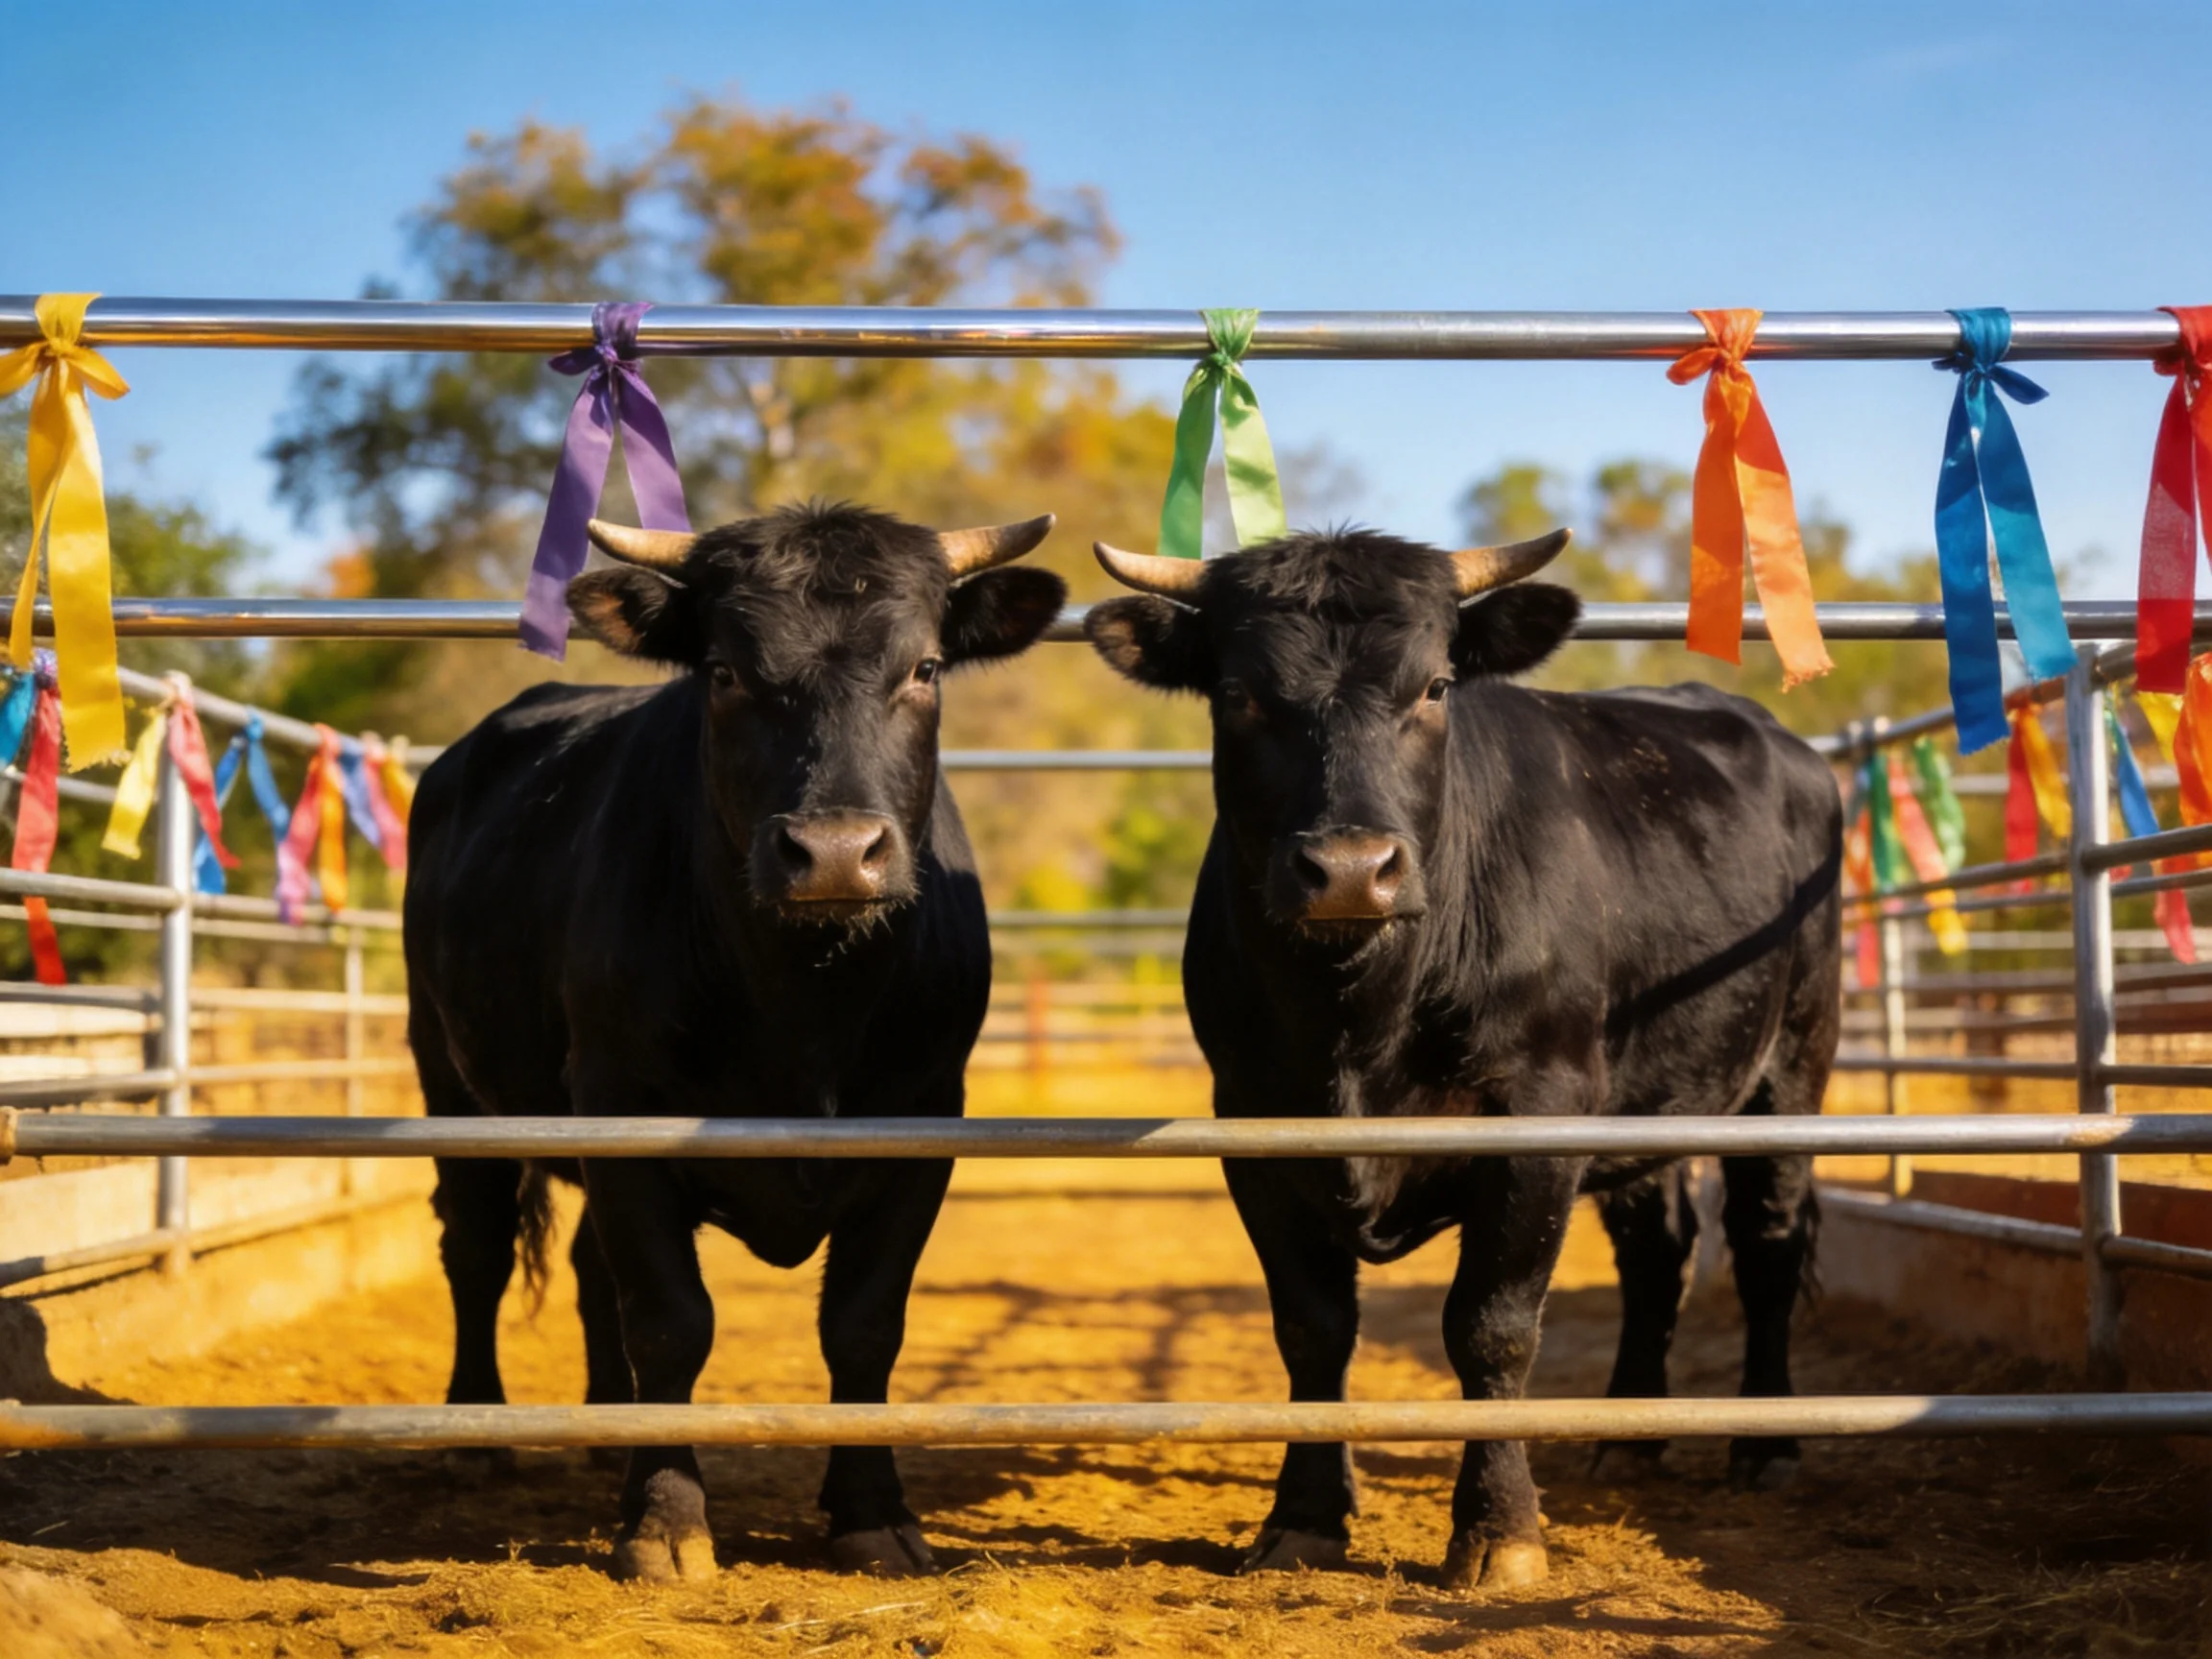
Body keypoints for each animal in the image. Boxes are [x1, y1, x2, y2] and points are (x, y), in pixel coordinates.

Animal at [403, 502, 1068, 1582]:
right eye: (723, 672)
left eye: (925, 667)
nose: (834, 853)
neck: (805, 1005)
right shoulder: (622, 1111)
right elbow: (672, 1321)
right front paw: (666, 1522)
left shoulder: (925, 1120)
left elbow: (863, 1325)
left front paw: (872, 1515)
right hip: (449, 1081)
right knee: (478, 1249)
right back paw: (476, 1431)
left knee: (586, 1271)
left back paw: (608, 1429)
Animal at [1081, 527, 1839, 1591]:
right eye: (1237, 693)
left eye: (1435, 686)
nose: (1350, 870)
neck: (1357, 1019)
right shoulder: (1255, 1134)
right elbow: (1313, 1328)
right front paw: (1305, 1516)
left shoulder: (1536, 1123)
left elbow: (1492, 1328)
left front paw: (1499, 1531)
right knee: (1659, 1251)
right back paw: (1629, 1435)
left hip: (1790, 1067)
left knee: (1769, 1238)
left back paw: (1766, 1446)